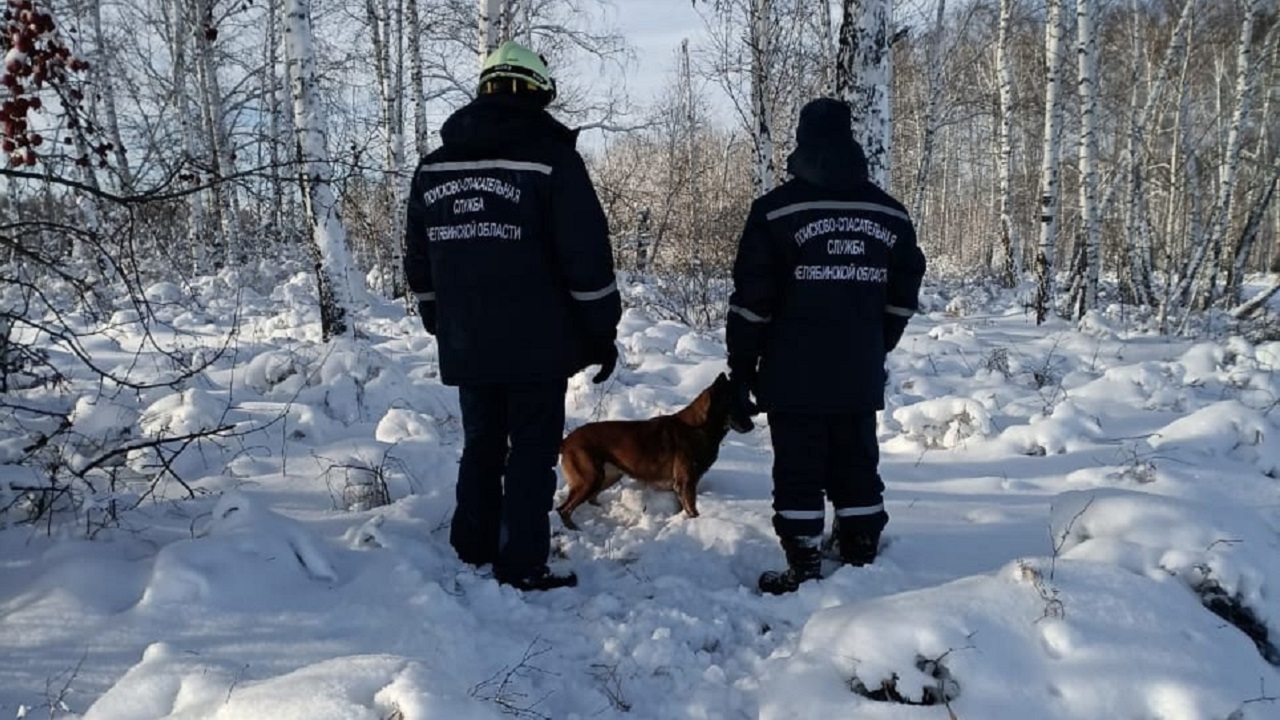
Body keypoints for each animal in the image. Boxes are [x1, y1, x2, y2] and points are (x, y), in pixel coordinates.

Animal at [555, 371, 737, 530]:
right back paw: (574, 529)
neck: (698, 427)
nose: (745, 425)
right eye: (738, 403)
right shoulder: (686, 483)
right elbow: (692, 509)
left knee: (590, 500)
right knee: (563, 509)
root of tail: (567, 440)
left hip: (608, 476)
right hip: (590, 479)